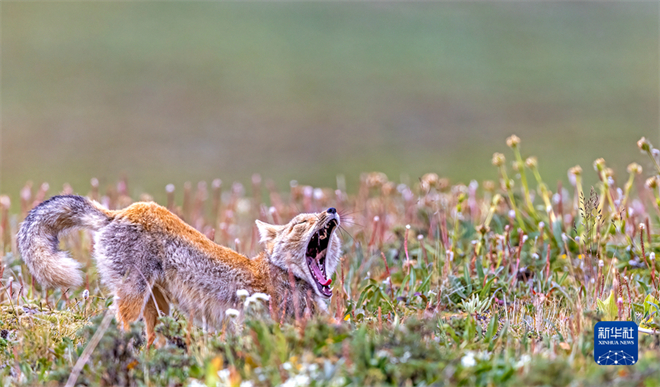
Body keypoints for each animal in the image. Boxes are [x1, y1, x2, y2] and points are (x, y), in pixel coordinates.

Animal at [16, 196, 340, 348]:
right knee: (120, 328)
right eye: (301, 223)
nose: (333, 210)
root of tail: (120, 212)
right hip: (134, 299)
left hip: (157, 306)